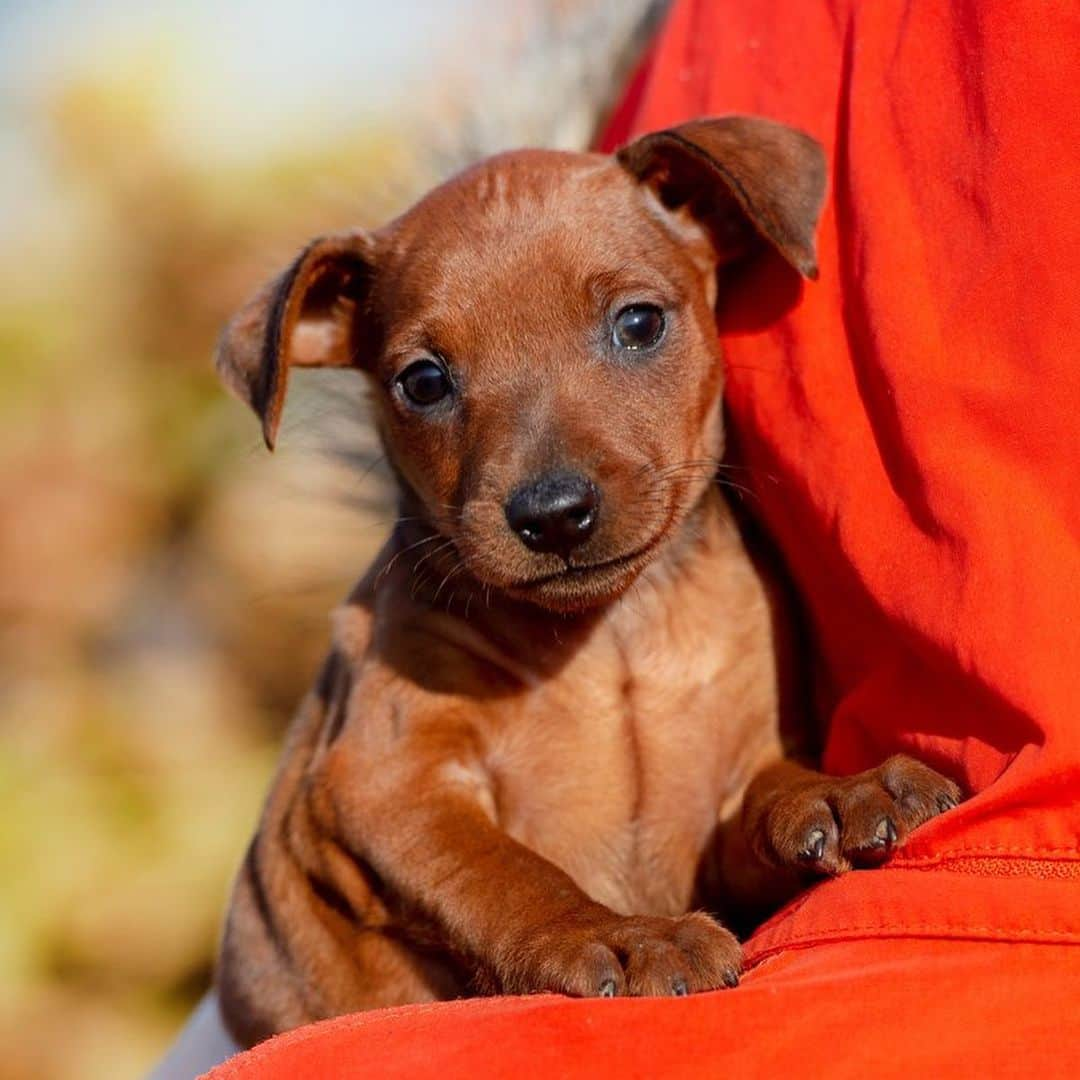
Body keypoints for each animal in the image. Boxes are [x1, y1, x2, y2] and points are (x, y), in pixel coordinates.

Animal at [212, 118, 963, 1045]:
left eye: (637, 323)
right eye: (422, 381)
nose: (554, 515)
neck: (614, 640)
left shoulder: (725, 800)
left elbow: (774, 789)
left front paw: (843, 790)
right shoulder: (388, 785)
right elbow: (506, 876)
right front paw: (622, 935)